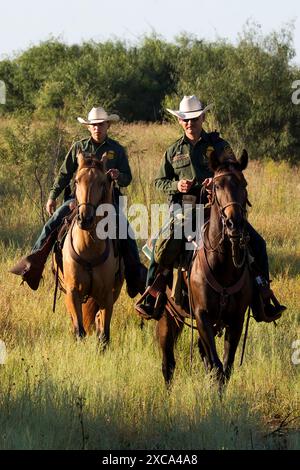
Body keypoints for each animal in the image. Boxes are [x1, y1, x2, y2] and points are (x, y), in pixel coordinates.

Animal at [54, 153, 123, 346]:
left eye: (102, 182)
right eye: (77, 181)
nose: (85, 218)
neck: (88, 247)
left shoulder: (106, 295)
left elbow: (104, 335)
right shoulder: (72, 292)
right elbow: (79, 331)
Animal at [156, 149, 252, 388]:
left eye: (243, 183)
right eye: (216, 185)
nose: (234, 224)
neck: (223, 265)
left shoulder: (235, 320)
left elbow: (225, 368)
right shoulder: (202, 316)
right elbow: (216, 366)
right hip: (168, 316)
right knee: (168, 364)